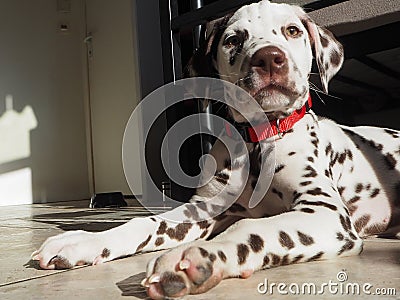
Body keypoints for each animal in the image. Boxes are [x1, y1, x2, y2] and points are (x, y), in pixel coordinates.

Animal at [32, 1, 398, 298]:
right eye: (233, 39)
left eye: (292, 31)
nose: (269, 58)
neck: (257, 142)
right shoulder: (202, 209)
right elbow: (145, 223)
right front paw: (83, 240)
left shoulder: (326, 213)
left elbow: (249, 227)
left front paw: (198, 256)